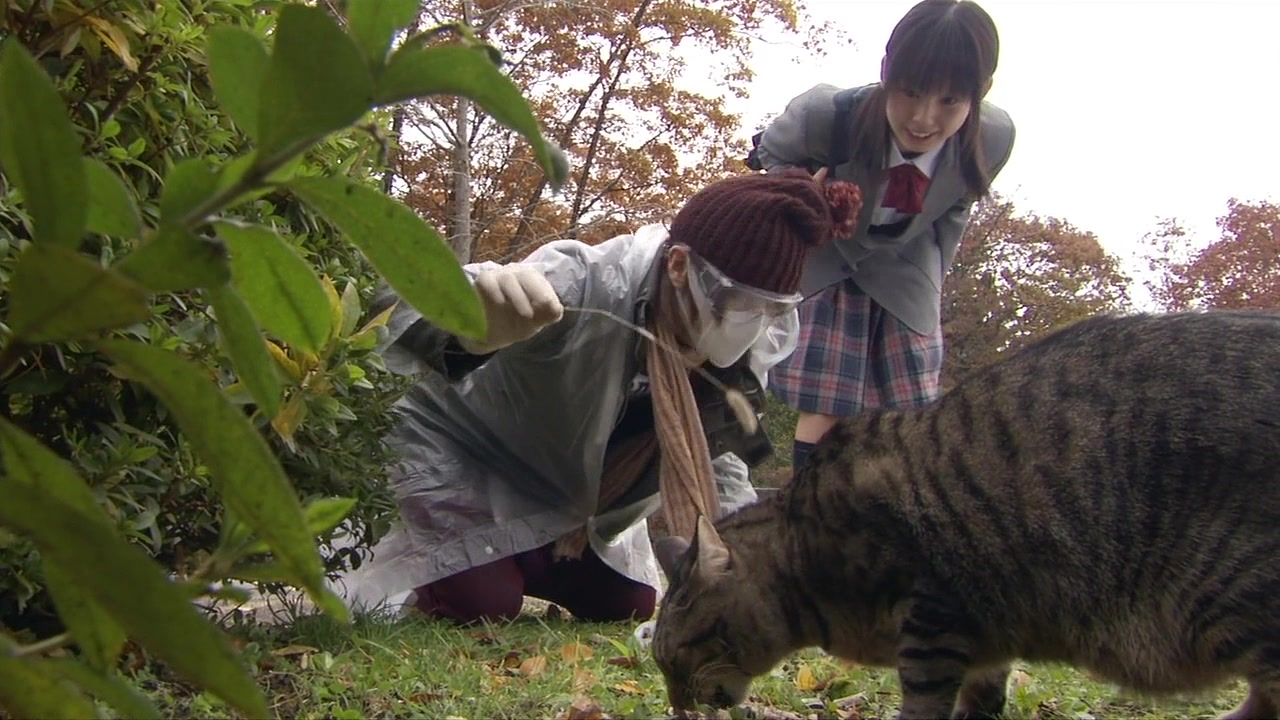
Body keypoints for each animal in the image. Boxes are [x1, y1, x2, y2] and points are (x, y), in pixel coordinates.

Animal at [652, 310, 1280, 720]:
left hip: (1227, 594)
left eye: (674, 658)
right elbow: (982, 703)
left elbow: (925, 707)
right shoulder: (987, 645)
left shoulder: (934, 623)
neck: (804, 546)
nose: (678, 706)